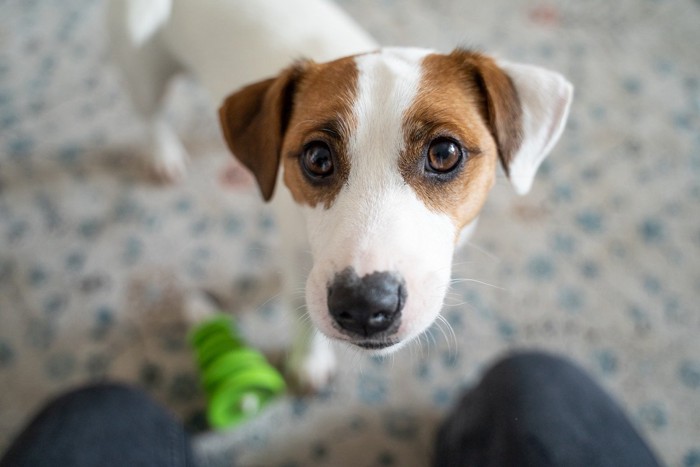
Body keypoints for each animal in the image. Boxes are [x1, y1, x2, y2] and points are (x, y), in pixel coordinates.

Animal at [108, 0, 568, 392]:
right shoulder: (296, 251)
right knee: (151, 115)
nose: (364, 304)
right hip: (142, 69)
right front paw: (308, 361)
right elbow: (297, 304)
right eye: (317, 158)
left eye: (444, 153)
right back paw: (163, 154)